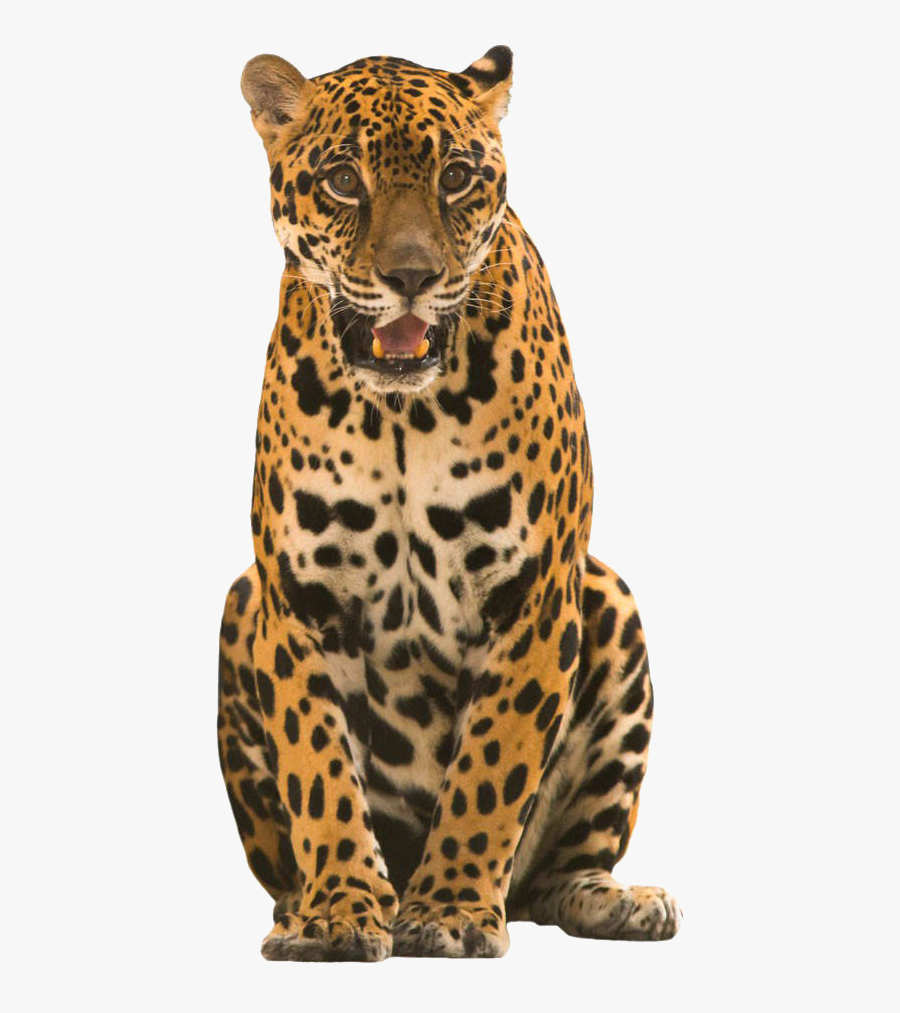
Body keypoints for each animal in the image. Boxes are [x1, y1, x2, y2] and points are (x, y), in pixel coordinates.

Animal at [217, 45, 681, 961]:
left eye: (458, 177)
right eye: (342, 179)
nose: (410, 277)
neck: (401, 414)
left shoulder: (533, 592)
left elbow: (492, 766)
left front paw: (451, 909)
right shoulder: (295, 596)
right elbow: (319, 767)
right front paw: (335, 912)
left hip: (608, 596)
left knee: (553, 874)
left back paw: (618, 902)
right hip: (239, 601)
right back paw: (299, 908)